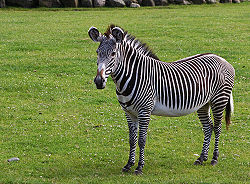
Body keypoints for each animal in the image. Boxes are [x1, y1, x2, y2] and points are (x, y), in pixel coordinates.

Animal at [87, 25, 234, 175]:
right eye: (97, 52)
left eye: (113, 53)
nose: (99, 82)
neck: (133, 76)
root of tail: (221, 59)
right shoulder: (129, 112)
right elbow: (132, 140)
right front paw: (128, 164)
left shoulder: (144, 111)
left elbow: (142, 140)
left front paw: (139, 167)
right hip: (203, 104)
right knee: (208, 127)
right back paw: (201, 158)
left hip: (219, 100)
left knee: (217, 128)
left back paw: (214, 159)